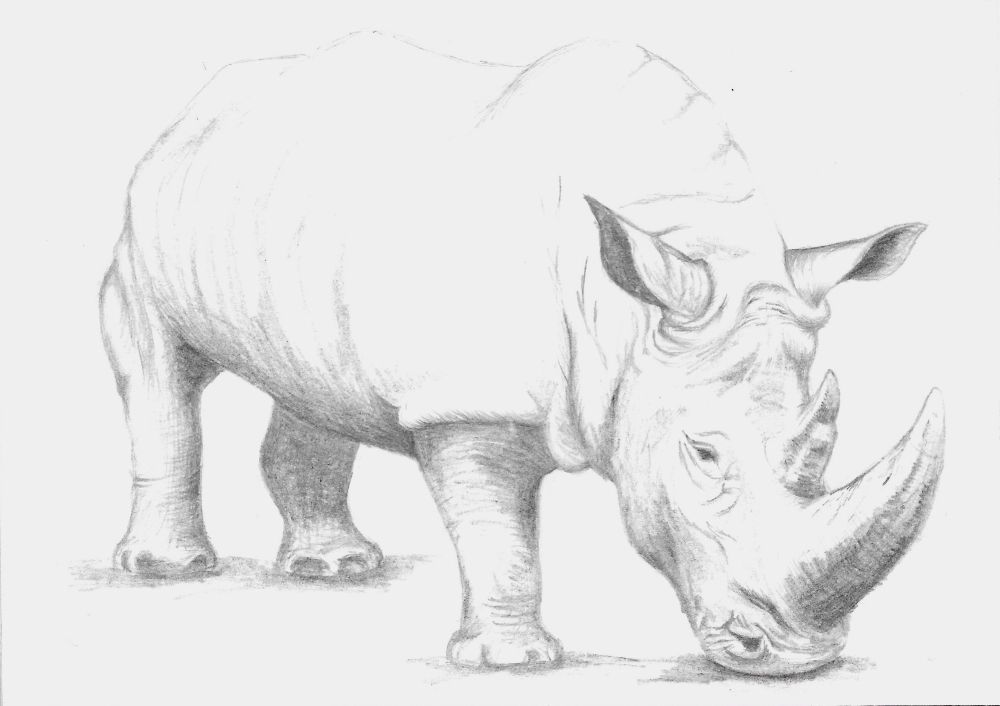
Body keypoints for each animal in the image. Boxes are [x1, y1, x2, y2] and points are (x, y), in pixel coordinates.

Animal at [99, 31, 944, 676]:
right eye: (704, 455)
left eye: (825, 442)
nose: (799, 660)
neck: (632, 309)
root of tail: (201, 103)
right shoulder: (467, 399)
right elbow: (498, 534)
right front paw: (513, 662)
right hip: (145, 212)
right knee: (159, 358)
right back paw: (170, 569)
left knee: (314, 383)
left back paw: (337, 569)